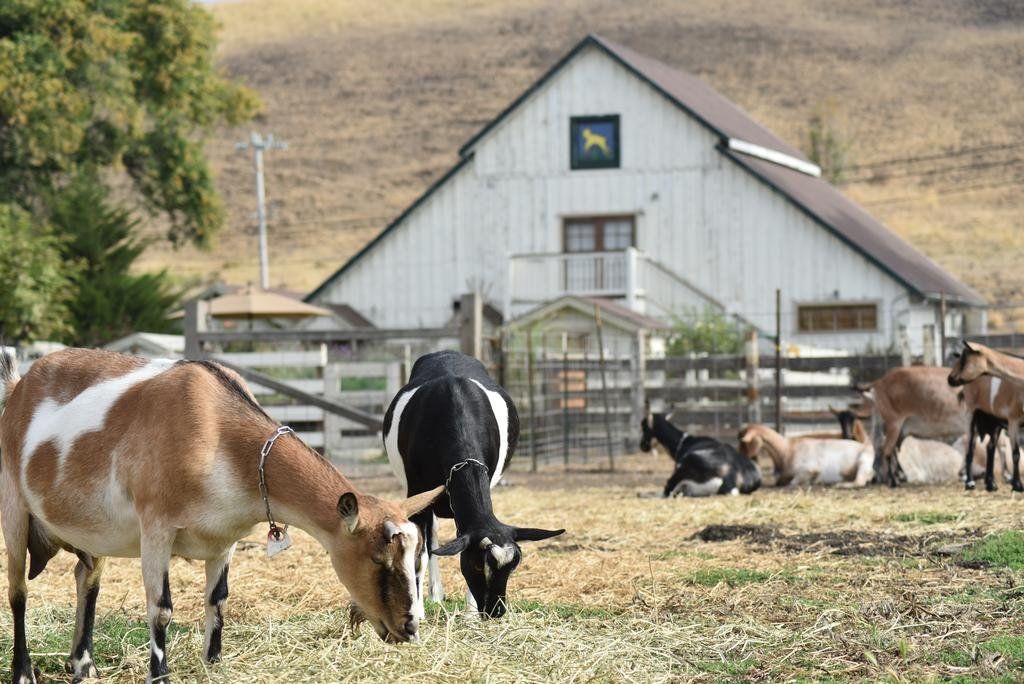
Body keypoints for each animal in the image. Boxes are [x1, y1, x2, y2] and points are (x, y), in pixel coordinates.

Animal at [0, 350, 442, 679]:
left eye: (415, 557)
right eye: (379, 560)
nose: (410, 628)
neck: (217, 433)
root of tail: (19, 387)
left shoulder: (224, 539)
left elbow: (218, 601)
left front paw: (213, 664)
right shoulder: (155, 527)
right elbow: (161, 608)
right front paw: (160, 674)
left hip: (91, 530)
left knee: (86, 579)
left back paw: (83, 666)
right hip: (13, 509)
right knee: (18, 592)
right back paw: (23, 671)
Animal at [385, 352, 565, 618]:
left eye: (513, 567)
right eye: (478, 566)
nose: (495, 611)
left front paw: (470, 613)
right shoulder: (417, 492)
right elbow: (419, 553)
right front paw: (417, 612)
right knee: (431, 540)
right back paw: (435, 594)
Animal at [737, 423, 872, 489]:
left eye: (744, 442)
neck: (787, 449)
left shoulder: (809, 469)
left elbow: (792, 483)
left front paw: (810, 483)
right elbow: (779, 482)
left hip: (864, 461)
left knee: (860, 482)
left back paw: (839, 485)